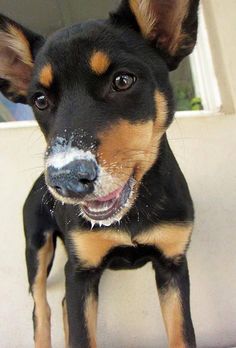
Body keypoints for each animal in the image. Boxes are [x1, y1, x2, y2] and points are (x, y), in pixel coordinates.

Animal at [0, 1, 200, 346]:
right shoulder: (81, 271)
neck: (133, 212)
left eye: (123, 81)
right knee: (41, 307)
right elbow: (80, 333)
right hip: (37, 246)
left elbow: (183, 334)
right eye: (39, 100)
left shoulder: (173, 264)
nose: (65, 179)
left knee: (60, 303)